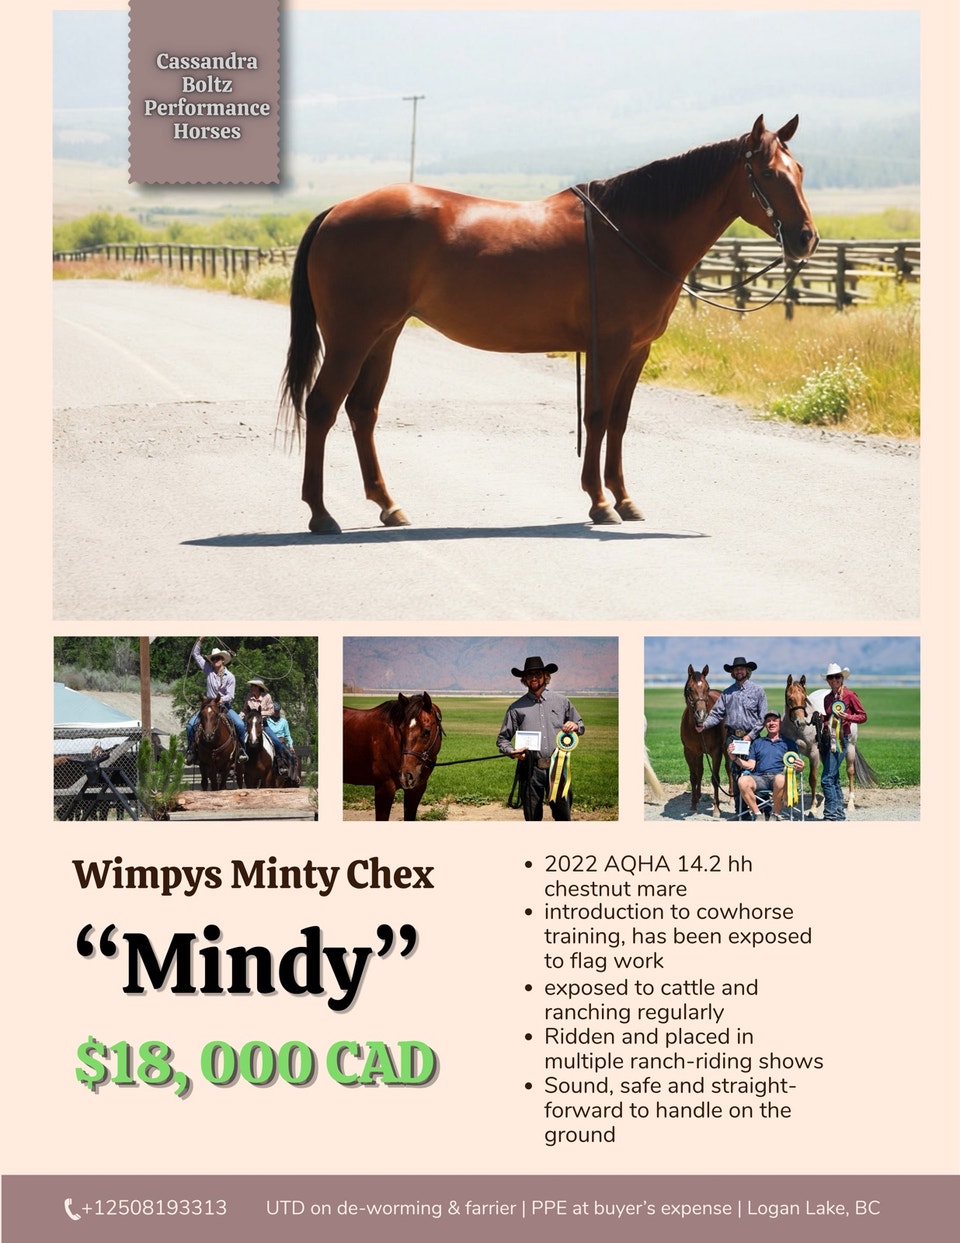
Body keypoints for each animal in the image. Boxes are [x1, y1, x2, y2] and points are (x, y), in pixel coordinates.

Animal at [281, 115, 818, 533]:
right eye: (768, 174)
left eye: (800, 171)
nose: (806, 239)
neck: (634, 234)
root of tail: (336, 211)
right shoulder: (610, 346)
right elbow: (597, 417)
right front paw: (599, 503)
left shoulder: (637, 351)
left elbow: (620, 421)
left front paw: (625, 499)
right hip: (351, 338)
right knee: (323, 407)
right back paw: (320, 513)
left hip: (384, 336)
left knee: (362, 411)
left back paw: (389, 506)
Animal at [680, 665, 725, 817]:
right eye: (689, 689)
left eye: (707, 687)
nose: (701, 715)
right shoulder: (690, 752)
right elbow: (694, 776)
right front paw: (693, 805)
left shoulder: (717, 752)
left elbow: (715, 779)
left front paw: (716, 809)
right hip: (699, 754)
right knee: (700, 771)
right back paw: (698, 796)